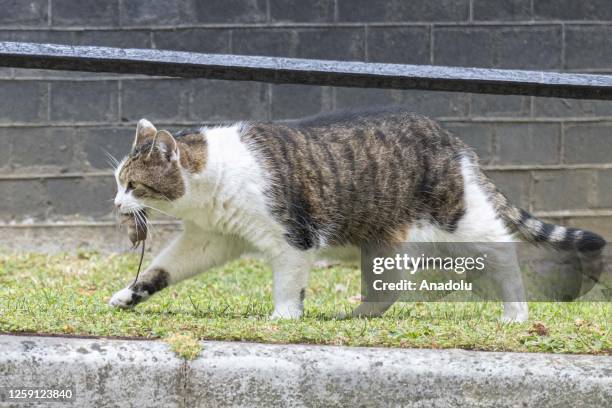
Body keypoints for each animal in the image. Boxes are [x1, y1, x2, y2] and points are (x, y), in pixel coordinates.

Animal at [107, 108, 604, 322]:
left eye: (132, 185)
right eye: (116, 181)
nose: (114, 204)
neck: (213, 178)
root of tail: (452, 140)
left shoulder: (293, 239)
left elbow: (288, 286)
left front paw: (283, 319)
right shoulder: (210, 238)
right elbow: (162, 270)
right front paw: (129, 295)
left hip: (459, 220)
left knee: (502, 252)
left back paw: (515, 313)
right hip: (384, 244)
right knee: (396, 285)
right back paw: (360, 314)